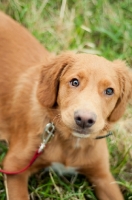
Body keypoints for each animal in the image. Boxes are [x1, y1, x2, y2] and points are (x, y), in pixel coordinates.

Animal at [0, 11, 131, 200]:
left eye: (109, 91)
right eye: (74, 82)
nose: (84, 119)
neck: (71, 142)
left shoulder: (103, 176)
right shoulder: (14, 166)